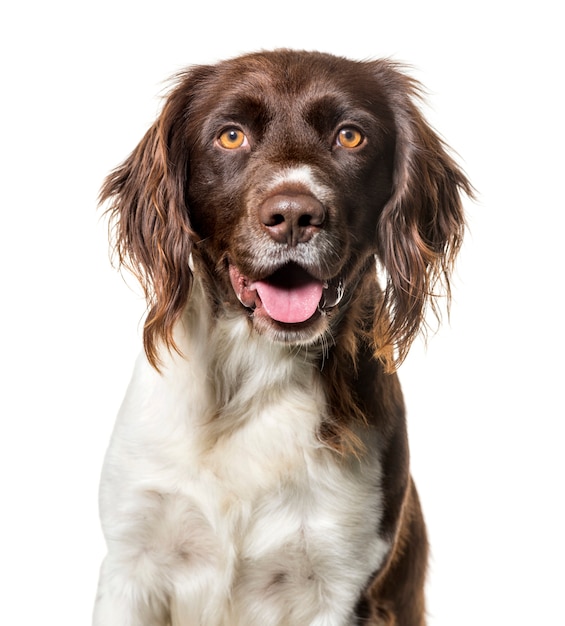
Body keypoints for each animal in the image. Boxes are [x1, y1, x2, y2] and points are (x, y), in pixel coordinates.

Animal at [93, 50, 472, 624]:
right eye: (230, 136)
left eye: (350, 136)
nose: (294, 215)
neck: (257, 372)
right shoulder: (131, 562)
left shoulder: (344, 584)